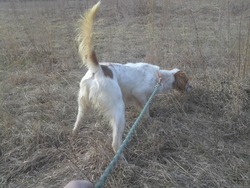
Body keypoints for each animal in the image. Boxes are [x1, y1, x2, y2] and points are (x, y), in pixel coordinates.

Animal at [72, 1, 191, 154]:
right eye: (187, 81)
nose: (191, 88)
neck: (159, 77)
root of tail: (98, 69)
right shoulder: (139, 93)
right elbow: (146, 109)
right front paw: (149, 119)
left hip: (83, 105)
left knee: (76, 124)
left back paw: (74, 135)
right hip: (118, 109)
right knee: (115, 143)